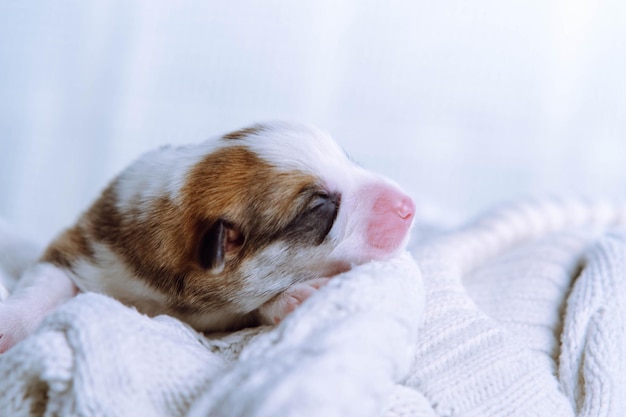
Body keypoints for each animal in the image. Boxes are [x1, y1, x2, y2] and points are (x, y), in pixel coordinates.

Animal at [0, 122, 414, 352]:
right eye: (321, 207)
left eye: (350, 160)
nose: (409, 206)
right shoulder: (85, 243)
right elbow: (45, 280)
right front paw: (9, 325)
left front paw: (297, 296)